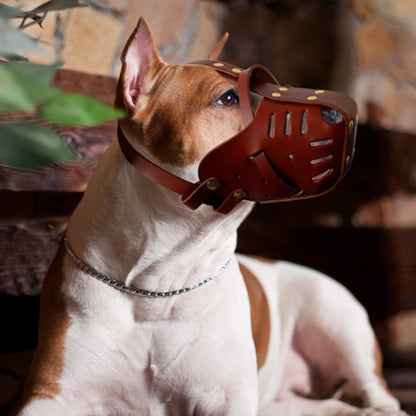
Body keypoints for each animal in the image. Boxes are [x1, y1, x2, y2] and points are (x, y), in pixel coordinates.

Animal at [17, 17, 410, 416]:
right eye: (229, 98)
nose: (344, 110)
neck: (156, 283)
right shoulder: (48, 394)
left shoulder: (226, 397)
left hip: (335, 317)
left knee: (380, 397)